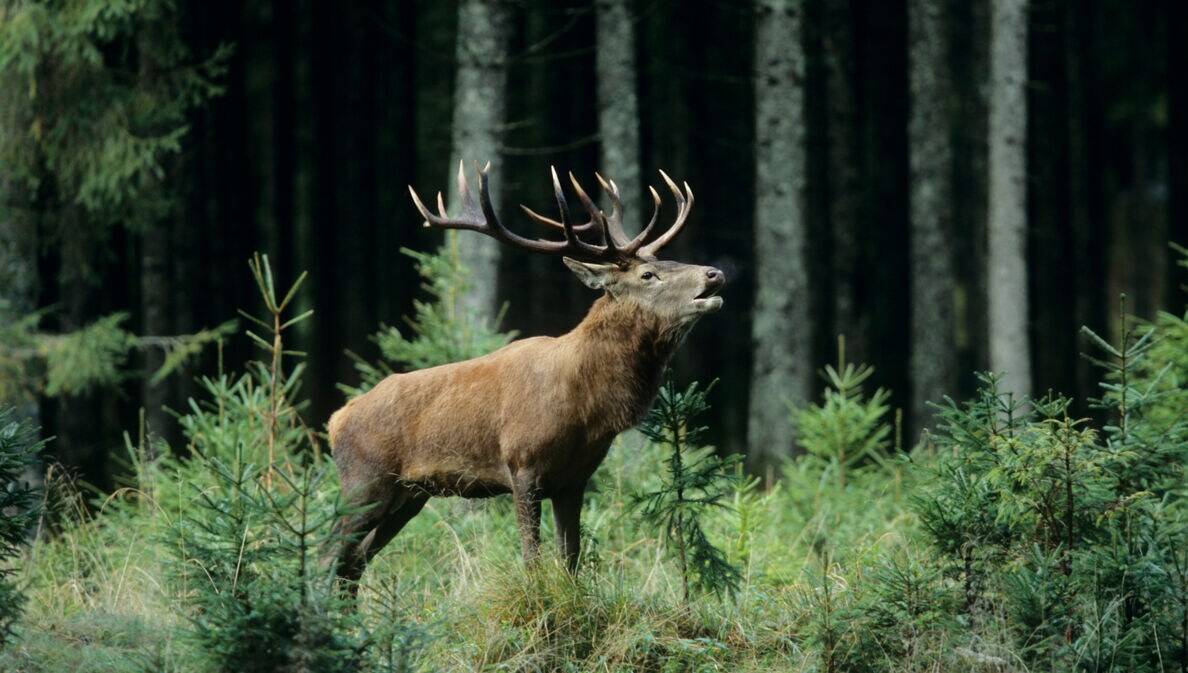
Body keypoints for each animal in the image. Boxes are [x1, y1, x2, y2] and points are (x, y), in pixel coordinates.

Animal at [328, 162, 725, 588]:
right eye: (648, 275)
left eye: (672, 261)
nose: (714, 274)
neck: (586, 409)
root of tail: (336, 420)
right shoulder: (522, 465)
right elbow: (532, 558)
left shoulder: (574, 479)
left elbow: (570, 559)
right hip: (364, 479)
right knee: (330, 552)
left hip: (409, 495)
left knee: (355, 561)